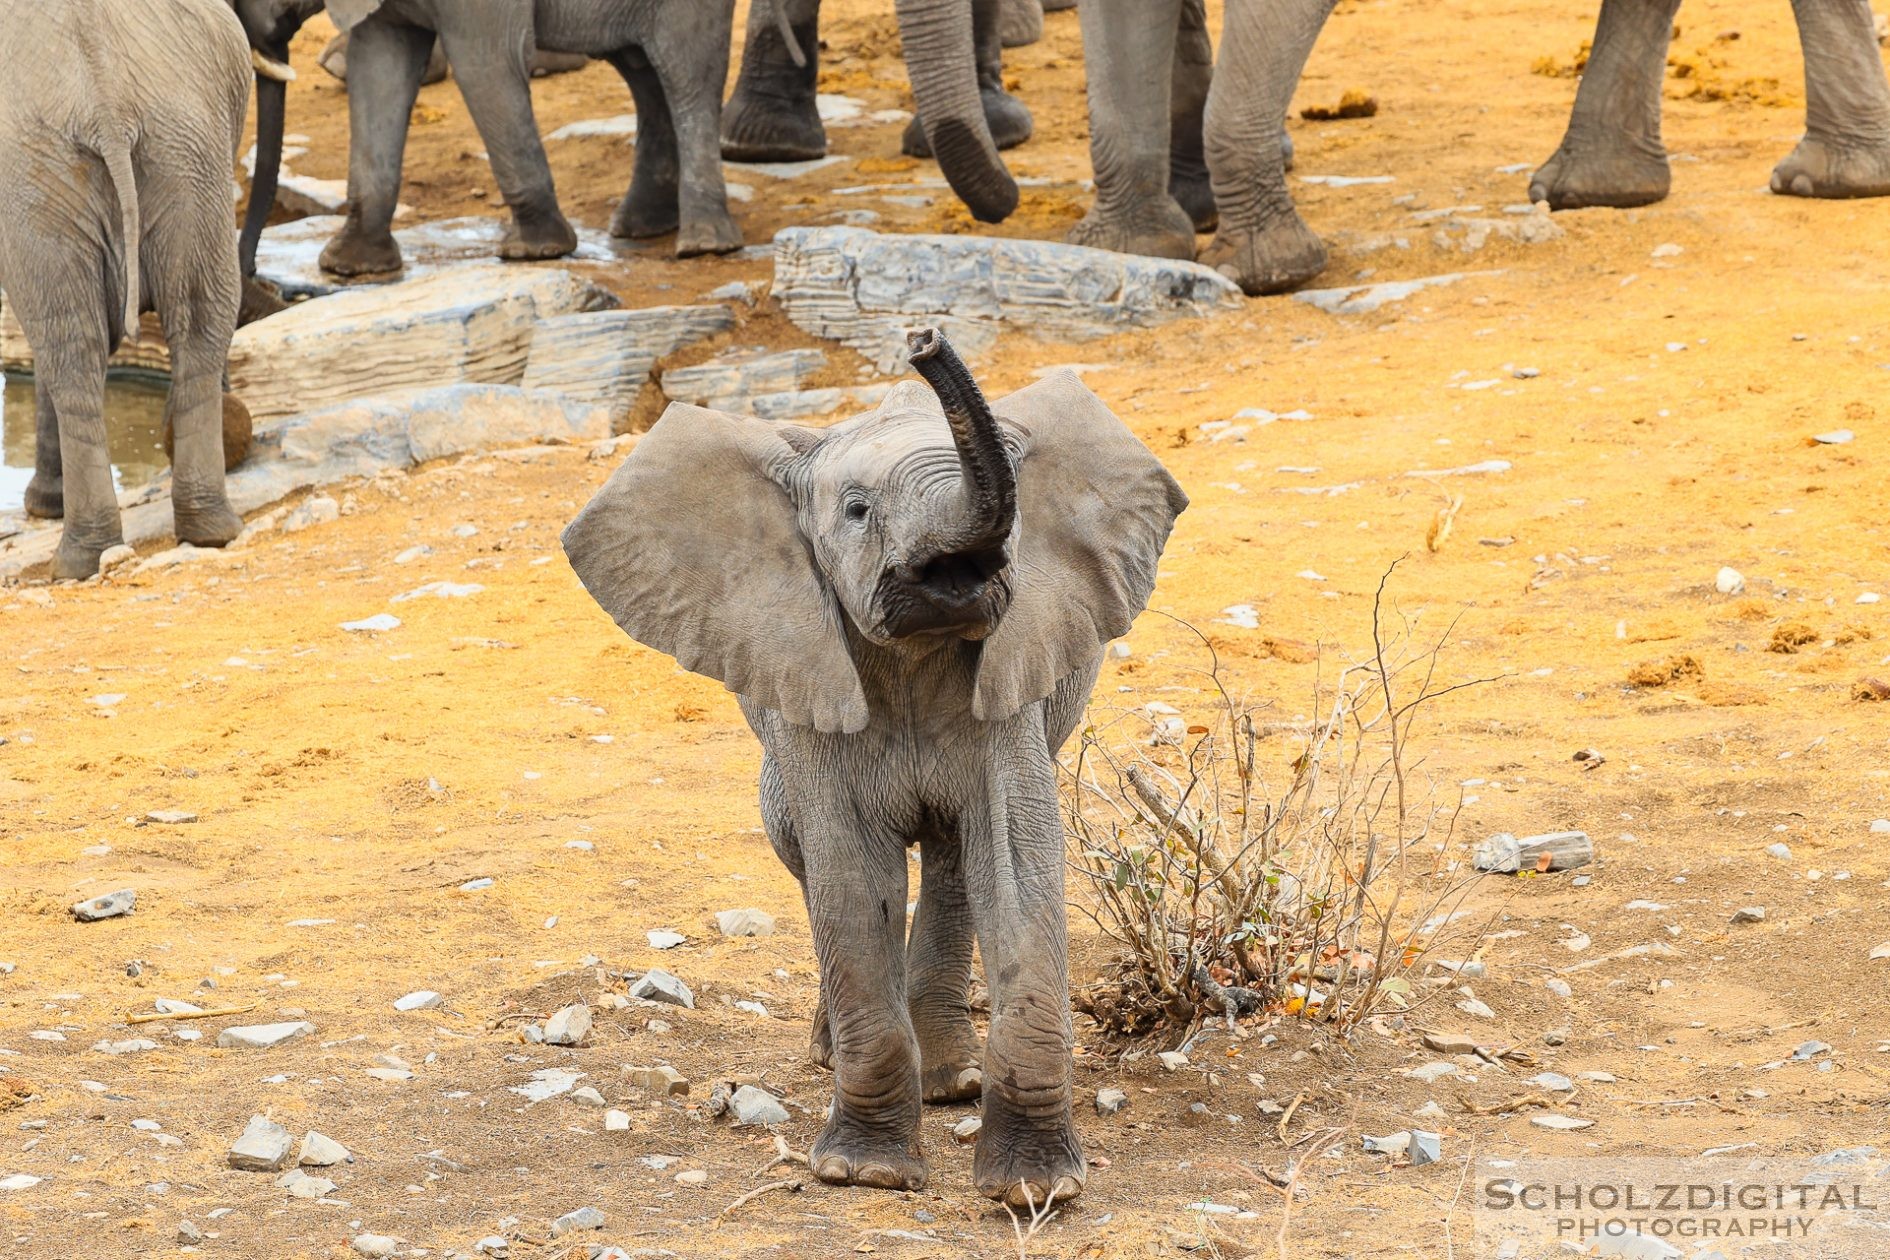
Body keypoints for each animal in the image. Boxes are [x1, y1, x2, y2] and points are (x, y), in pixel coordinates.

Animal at [0, 0, 251, 578]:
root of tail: (106, 106)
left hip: (44, 177)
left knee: (70, 342)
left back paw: (79, 556)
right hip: (182, 149)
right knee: (195, 318)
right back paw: (209, 531)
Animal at [228, 0, 744, 283]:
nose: (249, 270)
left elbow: (485, 65)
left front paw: (535, 251)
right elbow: (378, 67)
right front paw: (349, 266)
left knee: (686, 76)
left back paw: (703, 246)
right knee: (643, 75)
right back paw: (640, 228)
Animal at [559, 330, 1186, 1208]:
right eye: (856, 511)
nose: (923, 339)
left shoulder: (1013, 687)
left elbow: (1016, 862)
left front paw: (1034, 1190)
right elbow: (852, 875)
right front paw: (867, 1174)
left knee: (955, 863)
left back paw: (952, 1081)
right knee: (803, 853)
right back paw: (835, 1055)